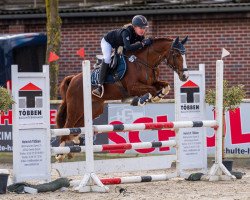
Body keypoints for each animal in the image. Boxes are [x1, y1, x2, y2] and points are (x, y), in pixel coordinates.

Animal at [56, 36, 188, 161]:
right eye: (176, 55)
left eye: (184, 54)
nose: (185, 76)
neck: (144, 62)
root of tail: (73, 79)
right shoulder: (133, 87)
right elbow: (151, 91)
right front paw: (140, 100)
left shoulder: (153, 82)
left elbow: (165, 86)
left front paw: (158, 96)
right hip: (75, 107)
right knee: (68, 125)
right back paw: (61, 153)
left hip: (94, 109)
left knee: (77, 125)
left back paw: (73, 145)